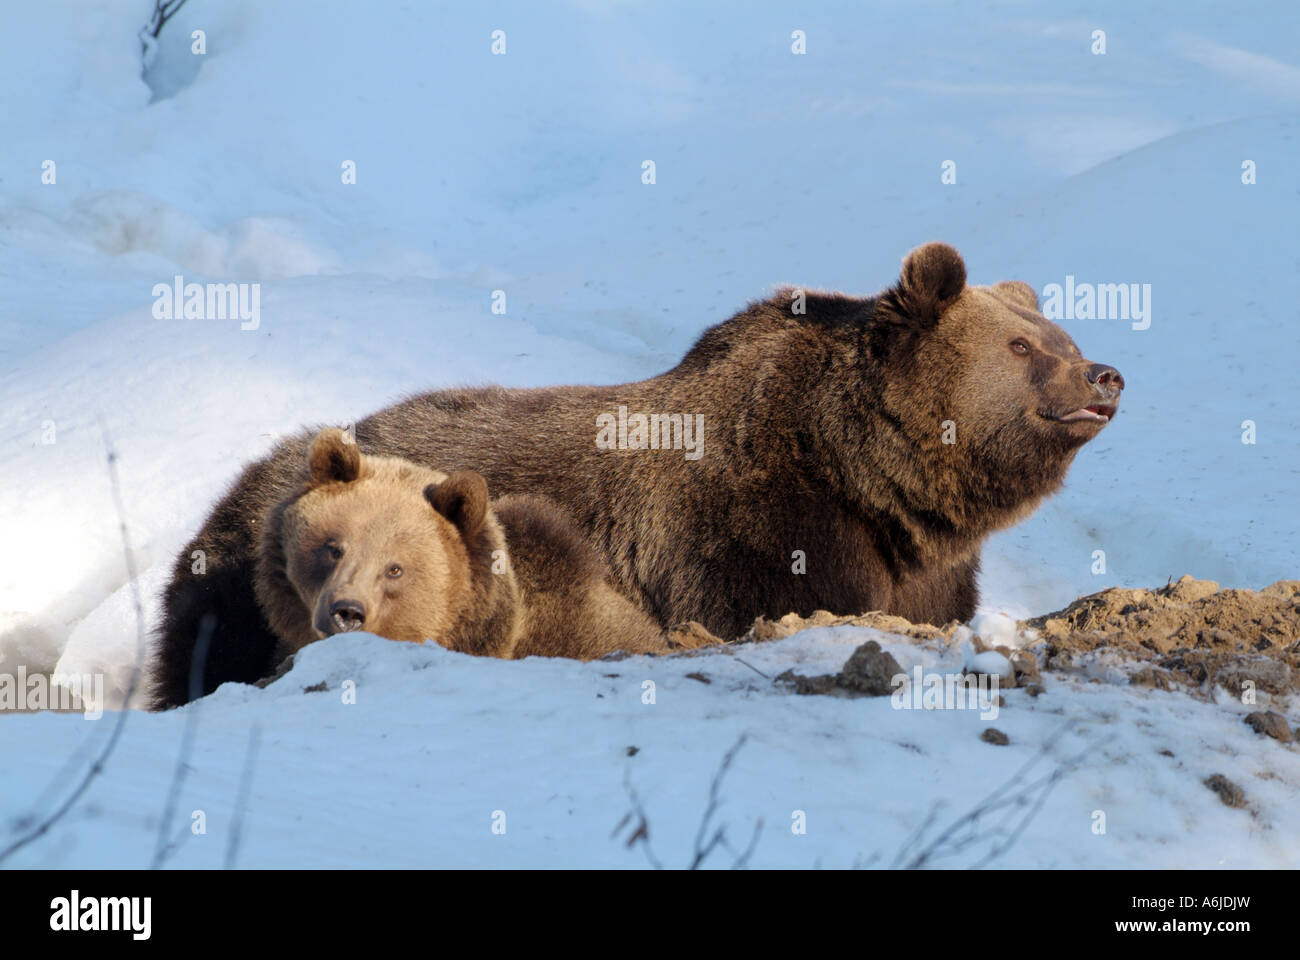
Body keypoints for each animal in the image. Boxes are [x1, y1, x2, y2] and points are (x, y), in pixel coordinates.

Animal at [152, 243, 1123, 707]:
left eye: (1061, 334)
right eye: (1023, 346)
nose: (1104, 376)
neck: (872, 477)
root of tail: (248, 471)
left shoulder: (926, 568)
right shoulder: (749, 537)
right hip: (237, 582)